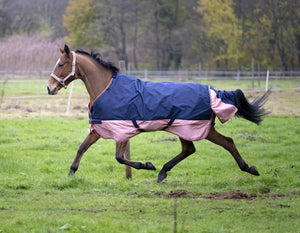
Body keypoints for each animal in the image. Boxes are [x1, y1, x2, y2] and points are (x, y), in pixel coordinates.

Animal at [46, 45, 270, 184]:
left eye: (60, 64)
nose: (49, 88)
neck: (106, 87)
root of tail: (213, 92)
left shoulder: (121, 131)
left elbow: (119, 158)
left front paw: (146, 165)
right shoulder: (100, 128)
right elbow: (82, 148)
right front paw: (71, 173)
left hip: (195, 128)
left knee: (225, 143)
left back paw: (249, 168)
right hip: (186, 129)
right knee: (192, 149)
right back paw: (164, 172)